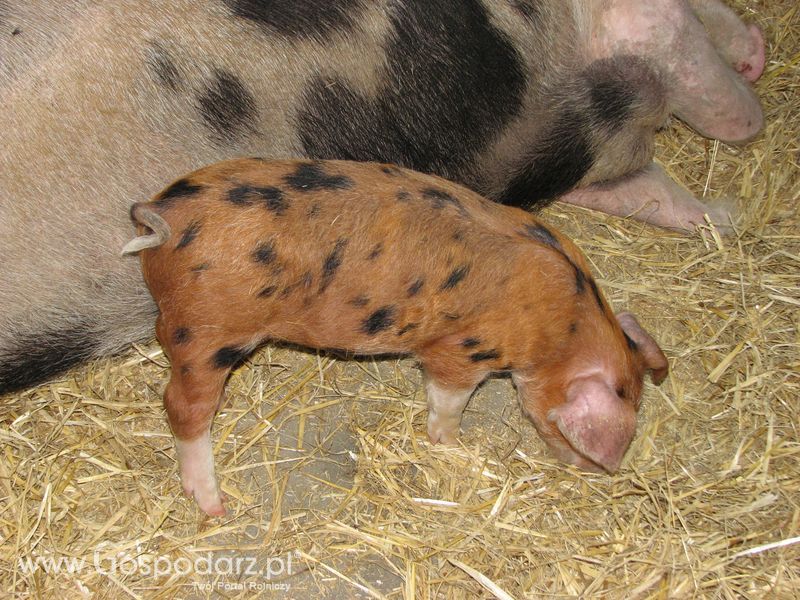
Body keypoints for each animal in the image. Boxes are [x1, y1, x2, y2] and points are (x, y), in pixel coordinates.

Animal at [120, 158, 668, 516]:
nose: (591, 471)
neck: (563, 326)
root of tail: (165, 220)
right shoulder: (460, 352)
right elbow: (447, 401)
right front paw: (451, 446)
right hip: (209, 333)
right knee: (182, 406)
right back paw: (214, 505)